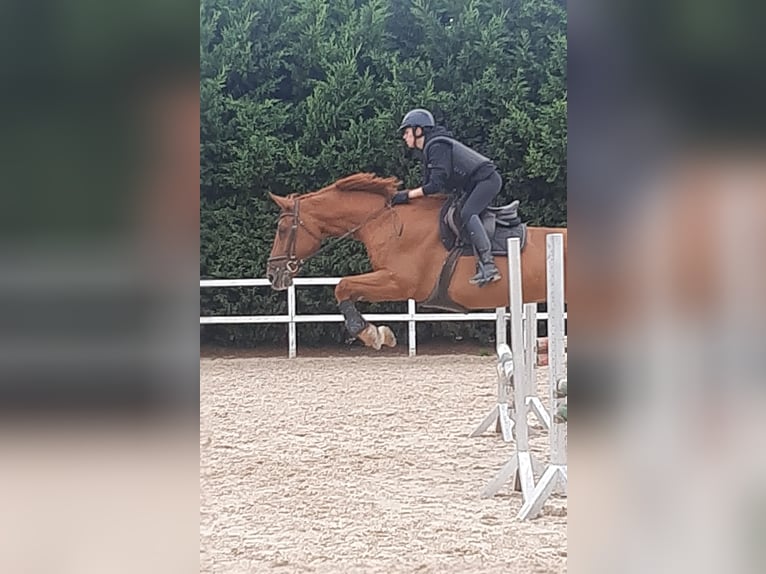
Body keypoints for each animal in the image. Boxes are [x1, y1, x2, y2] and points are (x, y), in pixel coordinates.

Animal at [268, 172, 568, 352]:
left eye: (281, 230)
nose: (273, 274)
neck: (384, 222)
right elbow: (346, 289)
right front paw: (376, 333)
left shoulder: (399, 282)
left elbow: (342, 286)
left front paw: (371, 334)